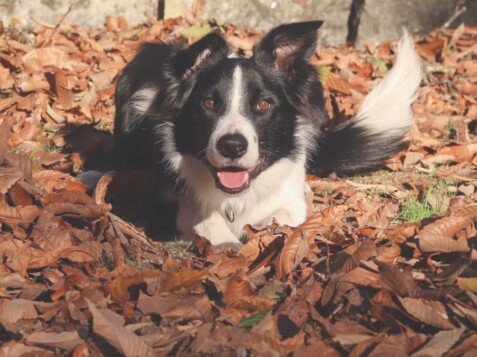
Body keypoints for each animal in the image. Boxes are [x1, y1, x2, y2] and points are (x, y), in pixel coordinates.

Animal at [112, 20, 420, 245]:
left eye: (263, 104)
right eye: (209, 103)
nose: (232, 146)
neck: (234, 199)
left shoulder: (289, 204)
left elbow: (278, 218)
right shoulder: (160, 199)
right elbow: (199, 218)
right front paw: (225, 241)